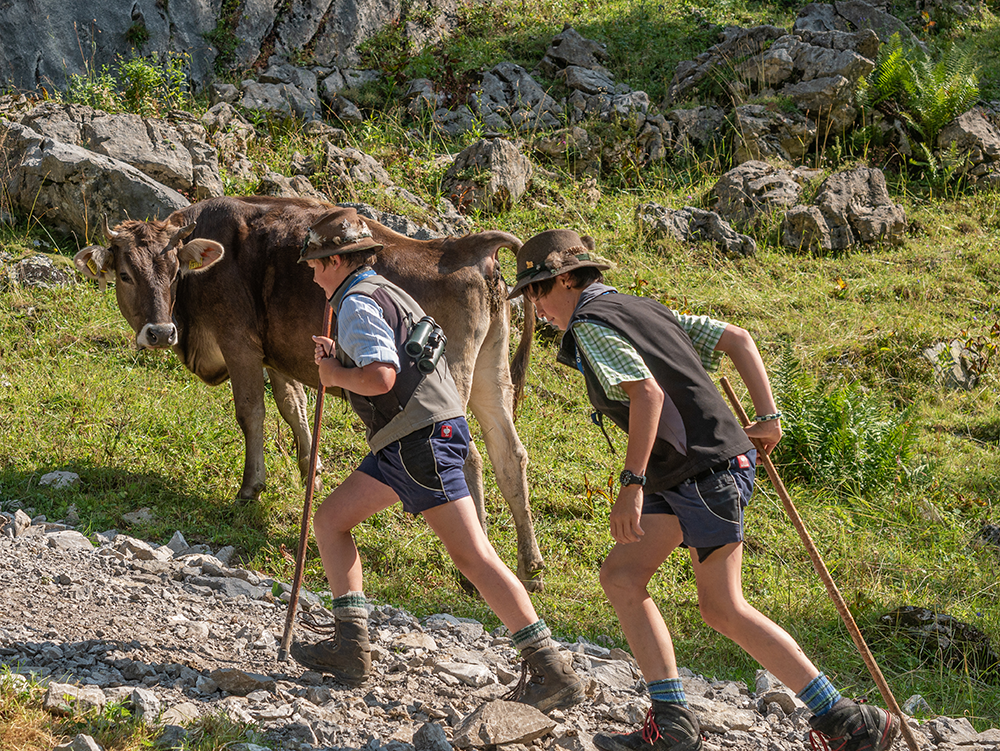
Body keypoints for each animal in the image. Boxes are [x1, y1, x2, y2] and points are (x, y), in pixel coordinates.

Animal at [76, 197, 548, 592]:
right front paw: (311, 472)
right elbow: (293, 407)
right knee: (510, 455)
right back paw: (530, 568)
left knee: (471, 457)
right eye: (125, 274)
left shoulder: (239, 342)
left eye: (175, 272)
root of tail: (469, 247)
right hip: (490, 371)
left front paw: (250, 488)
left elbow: (251, 412)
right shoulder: (275, 353)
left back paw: (474, 571)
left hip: (455, 372)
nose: (159, 332)